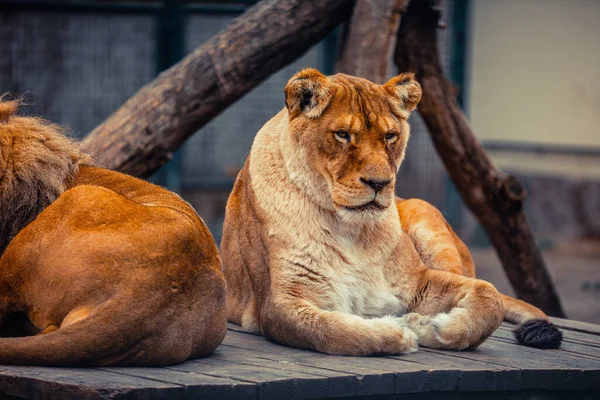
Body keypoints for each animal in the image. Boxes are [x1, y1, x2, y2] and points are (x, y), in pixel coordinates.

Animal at [220, 69, 564, 356]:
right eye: (342, 134)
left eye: (389, 136)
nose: (379, 183)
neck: (351, 230)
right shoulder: (278, 304)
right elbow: (331, 331)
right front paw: (399, 331)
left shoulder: (418, 282)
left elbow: (488, 297)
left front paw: (430, 326)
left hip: (426, 216)